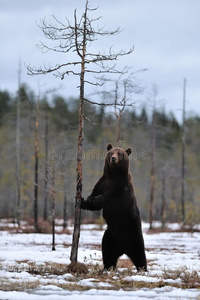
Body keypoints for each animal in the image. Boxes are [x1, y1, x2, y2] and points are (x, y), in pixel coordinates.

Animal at [81, 144, 147, 272]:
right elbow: (95, 193)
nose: (113, 159)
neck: (113, 175)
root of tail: (122, 249)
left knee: (140, 255)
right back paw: (107, 267)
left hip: (133, 235)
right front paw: (83, 200)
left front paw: (91, 200)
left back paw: (143, 269)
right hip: (110, 237)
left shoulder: (119, 189)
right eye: (111, 152)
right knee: (107, 253)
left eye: (120, 154)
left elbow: (105, 200)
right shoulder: (102, 182)